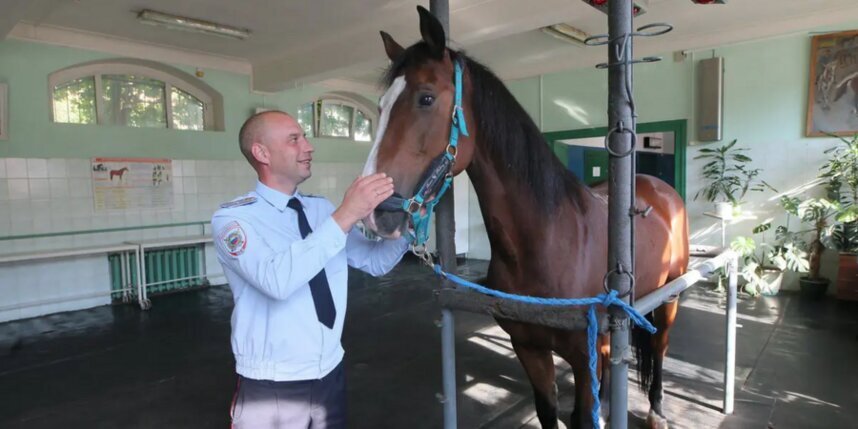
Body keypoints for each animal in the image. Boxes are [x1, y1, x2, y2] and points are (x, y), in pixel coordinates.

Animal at [362, 6, 688, 428]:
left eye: (426, 98)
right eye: (381, 106)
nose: (375, 212)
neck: (547, 243)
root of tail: (658, 188)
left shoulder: (583, 356)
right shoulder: (529, 348)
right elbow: (548, 409)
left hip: (669, 299)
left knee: (660, 349)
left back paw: (657, 410)